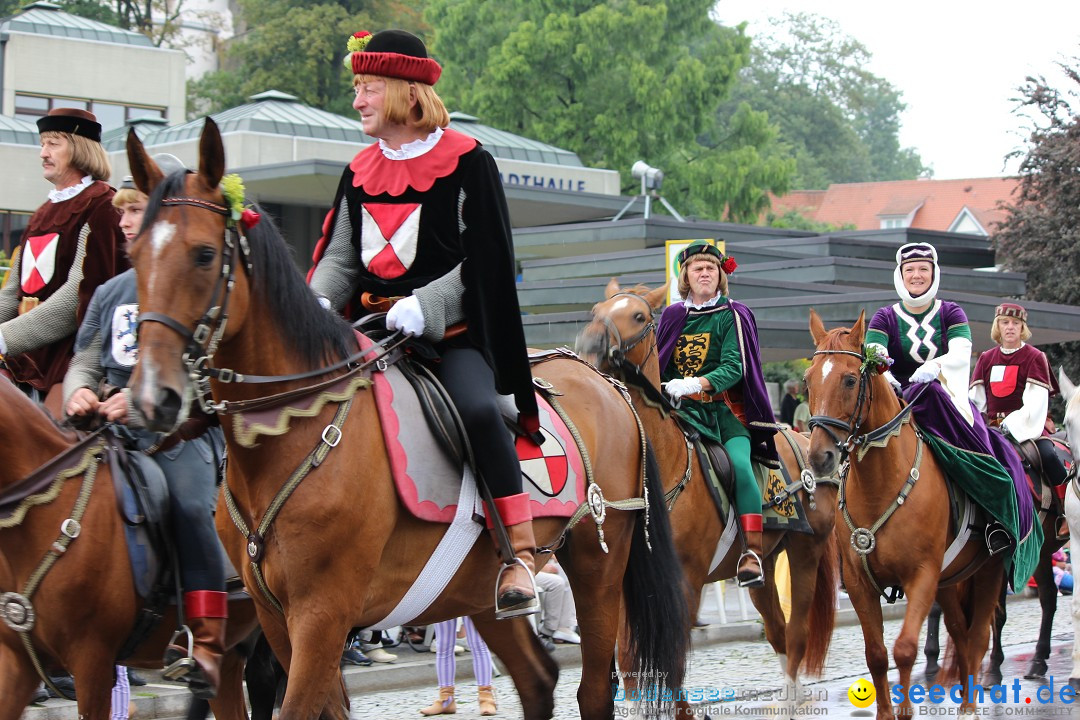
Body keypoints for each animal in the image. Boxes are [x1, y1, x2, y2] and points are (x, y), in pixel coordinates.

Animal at [122, 119, 686, 720]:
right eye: (134, 252)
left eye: (205, 254)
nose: (153, 397)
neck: (295, 429)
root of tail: (604, 381)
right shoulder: (275, 618)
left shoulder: (322, 614)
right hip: (476, 589)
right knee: (538, 678)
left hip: (598, 566)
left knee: (592, 689)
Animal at [578, 280, 838, 716]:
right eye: (596, 310)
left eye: (639, 316)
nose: (589, 348)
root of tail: (805, 440)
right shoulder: (627, 582)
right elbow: (631, 662)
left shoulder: (686, 580)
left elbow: (670, 660)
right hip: (766, 566)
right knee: (777, 630)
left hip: (806, 553)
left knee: (798, 632)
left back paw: (790, 700)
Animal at [807, 310, 1006, 720]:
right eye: (807, 380)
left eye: (850, 379)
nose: (820, 458)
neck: (880, 485)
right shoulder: (859, 584)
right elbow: (877, 655)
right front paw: (887, 712)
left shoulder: (921, 576)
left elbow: (904, 649)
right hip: (950, 580)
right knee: (961, 633)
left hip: (990, 570)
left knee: (978, 636)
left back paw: (970, 706)